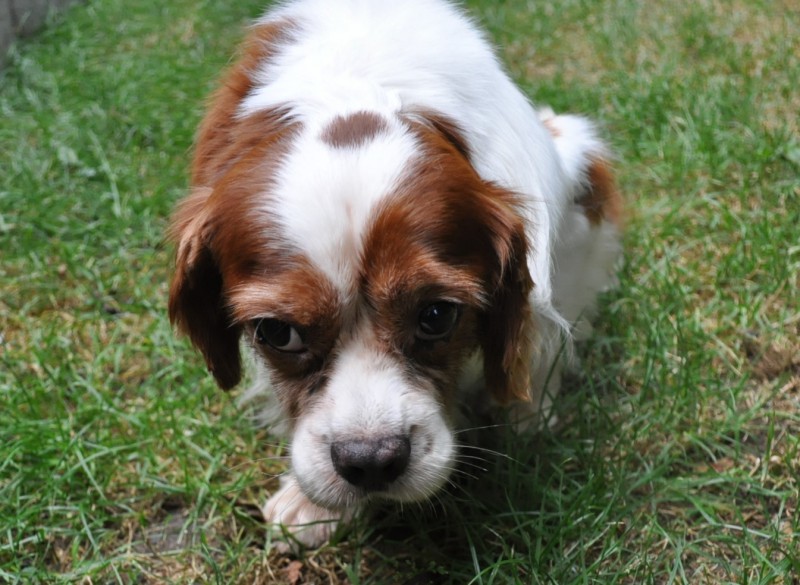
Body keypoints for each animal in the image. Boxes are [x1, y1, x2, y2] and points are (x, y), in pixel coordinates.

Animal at [168, 0, 622, 548]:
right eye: (277, 332)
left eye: (437, 316)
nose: (370, 462)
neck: (356, 86)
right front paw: (311, 503)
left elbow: (540, 339)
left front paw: (528, 414)